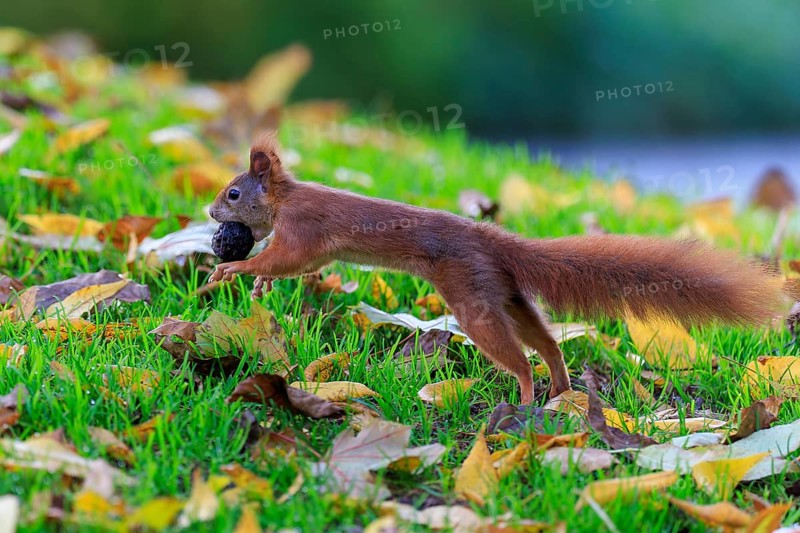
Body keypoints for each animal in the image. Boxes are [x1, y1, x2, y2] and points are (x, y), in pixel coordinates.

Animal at [209, 131, 786, 404]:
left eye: (233, 193)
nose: (212, 214)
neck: (286, 200)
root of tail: (493, 241)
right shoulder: (312, 249)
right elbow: (288, 267)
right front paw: (257, 280)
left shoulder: (305, 232)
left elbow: (288, 257)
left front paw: (234, 272)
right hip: (504, 291)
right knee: (548, 343)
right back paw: (560, 391)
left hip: (474, 299)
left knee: (520, 357)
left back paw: (528, 398)